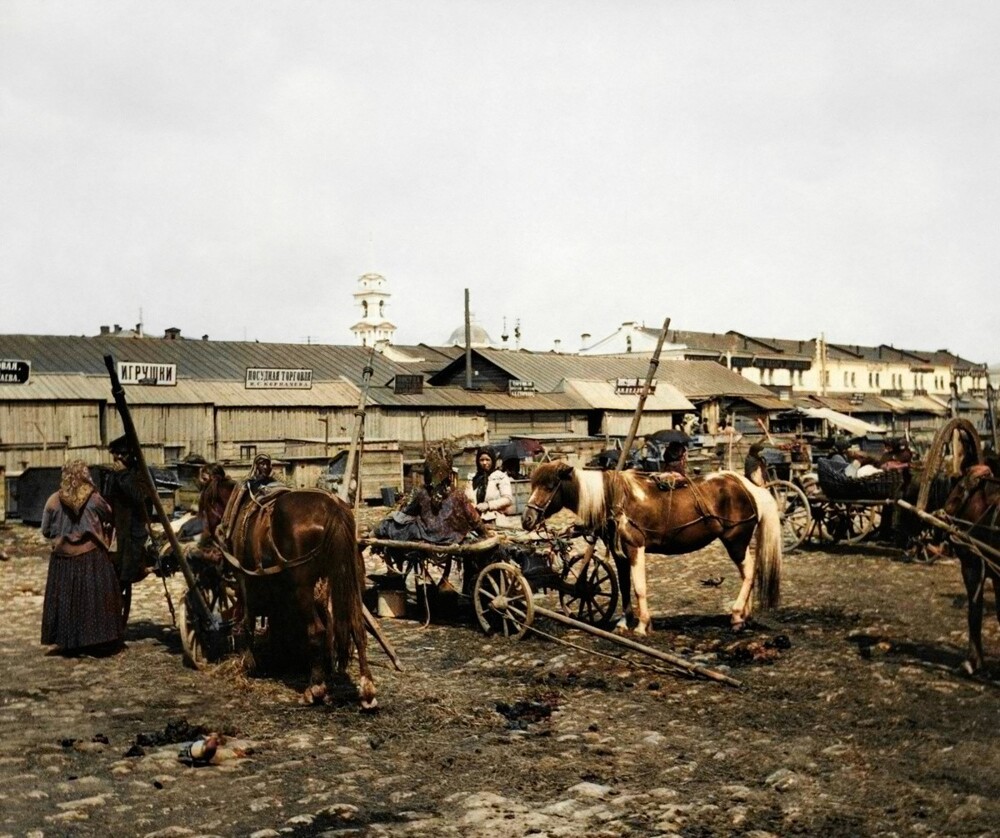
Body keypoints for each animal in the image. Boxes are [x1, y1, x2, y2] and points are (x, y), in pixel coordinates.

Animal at [199, 472, 376, 708]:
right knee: (357, 628)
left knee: (317, 631)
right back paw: (367, 691)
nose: (205, 541)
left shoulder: (245, 579)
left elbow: (247, 620)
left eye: (204, 507)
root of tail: (334, 509)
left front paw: (248, 663)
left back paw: (315, 688)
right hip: (352, 583)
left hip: (302, 588)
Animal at [520, 466, 784, 636]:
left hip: (736, 541)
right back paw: (745, 617)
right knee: (747, 574)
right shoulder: (619, 553)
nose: (526, 519)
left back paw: (737, 615)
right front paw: (624, 623)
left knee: (749, 573)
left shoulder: (635, 548)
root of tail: (747, 486)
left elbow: (639, 588)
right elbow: (624, 587)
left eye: (549, 486)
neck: (617, 499)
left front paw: (641, 625)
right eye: (532, 485)